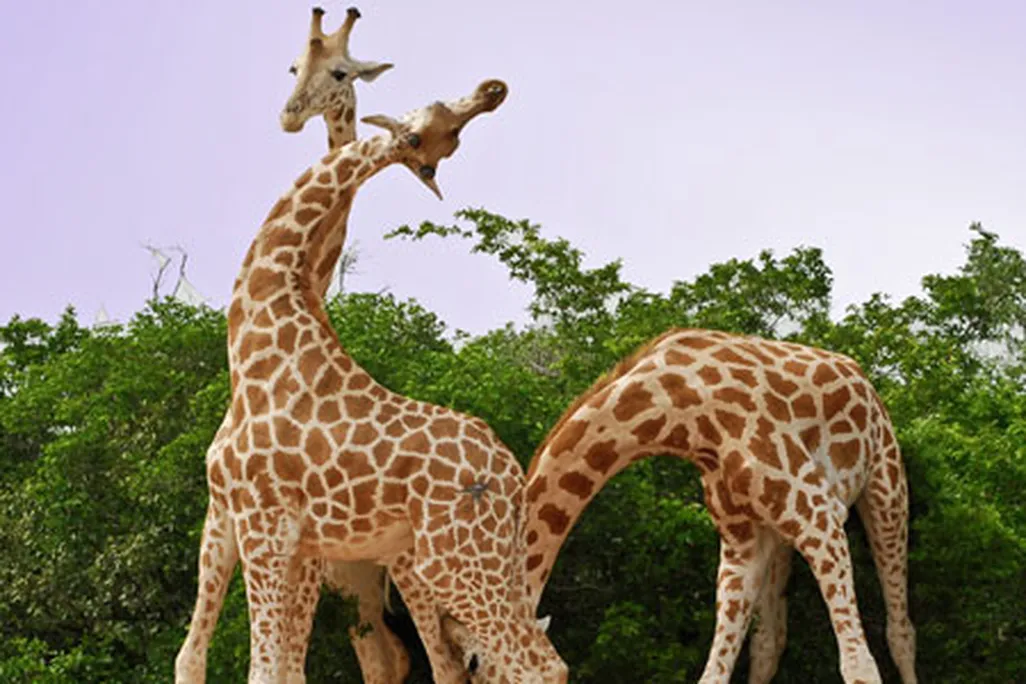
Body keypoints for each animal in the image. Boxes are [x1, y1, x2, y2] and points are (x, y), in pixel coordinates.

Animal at [175, 7, 409, 683]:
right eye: (291, 64)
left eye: (340, 71)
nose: (288, 114)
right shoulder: (227, 518)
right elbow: (194, 656)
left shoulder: (295, 550)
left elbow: (280, 665)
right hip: (358, 582)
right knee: (392, 659)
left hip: (379, 575)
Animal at [212, 79, 568, 684]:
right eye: (434, 133)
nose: (492, 90)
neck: (256, 345)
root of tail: (512, 474)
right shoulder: (296, 544)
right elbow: (284, 670)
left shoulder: (263, 527)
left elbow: (263, 669)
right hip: (489, 556)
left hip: (451, 558)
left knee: (535, 664)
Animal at [444, 328, 916, 684]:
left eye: (475, 665)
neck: (678, 412)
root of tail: (861, 374)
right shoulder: (741, 541)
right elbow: (717, 672)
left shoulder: (817, 513)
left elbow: (859, 667)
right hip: (775, 537)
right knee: (770, 642)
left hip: (885, 483)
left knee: (901, 631)